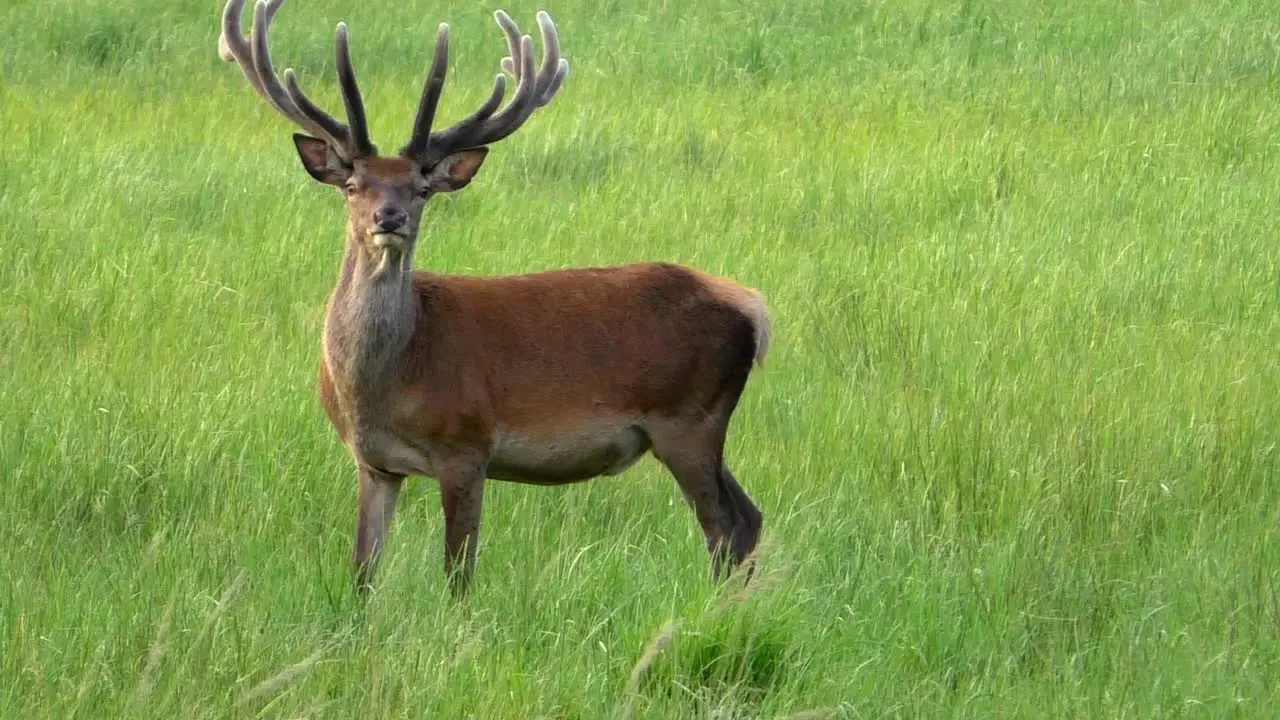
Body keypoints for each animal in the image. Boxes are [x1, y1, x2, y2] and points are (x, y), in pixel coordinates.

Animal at [218, 0, 768, 594]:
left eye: (421, 188)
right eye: (352, 186)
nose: (390, 218)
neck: (385, 383)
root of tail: (754, 309)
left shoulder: (467, 445)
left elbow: (459, 570)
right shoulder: (374, 463)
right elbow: (364, 569)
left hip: (689, 418)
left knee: (725, 529)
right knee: (750, 518)